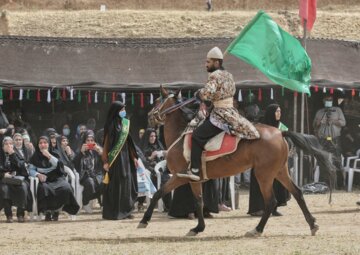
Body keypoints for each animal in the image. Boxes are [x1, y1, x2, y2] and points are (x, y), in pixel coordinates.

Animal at [139, 86, 334, 237]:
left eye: (157, 101)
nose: (148, 116)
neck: (180, 134)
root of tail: (280, 133)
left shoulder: (182, 177)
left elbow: (160, 194)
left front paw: (145, 221)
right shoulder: (191, 179)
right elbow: (197, 201)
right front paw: (199, 227)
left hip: (264, 174)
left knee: (271, 202)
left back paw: (257, 229)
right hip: (279, 171)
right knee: (298, 193)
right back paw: (312, 224)